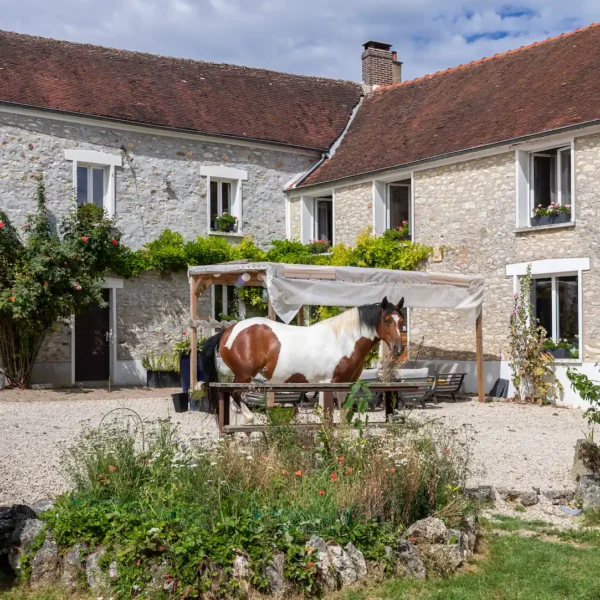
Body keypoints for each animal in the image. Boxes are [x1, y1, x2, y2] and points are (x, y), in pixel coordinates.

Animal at [200, 296, 404, 392]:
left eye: (401, 321)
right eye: (387, 321)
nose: (398, 348)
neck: (344, 340)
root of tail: (229, 331)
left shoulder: (348, 383)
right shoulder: (333, 382)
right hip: (243, 377)